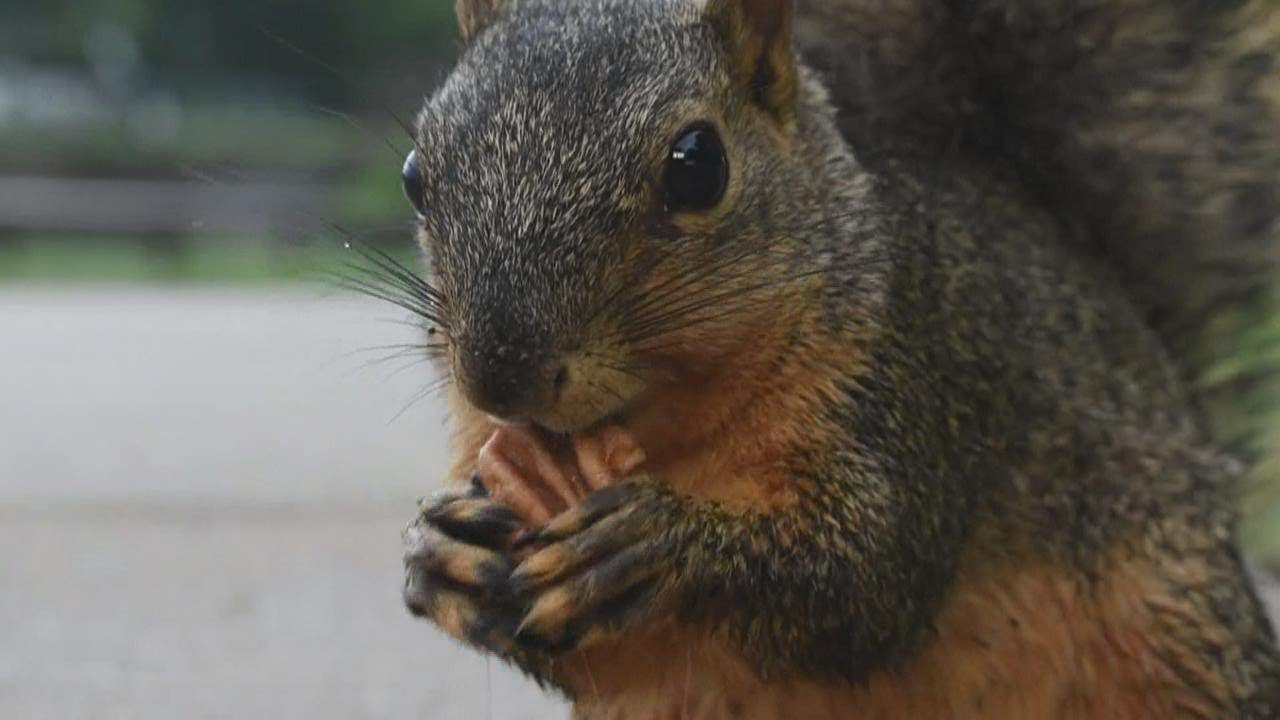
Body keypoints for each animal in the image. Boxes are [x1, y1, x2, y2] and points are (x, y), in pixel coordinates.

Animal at [396, 0, 1280, 717]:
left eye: (698, 165)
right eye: (415, 176)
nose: (499, 375)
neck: (671, 433)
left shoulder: (919, 384)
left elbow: (870, 581)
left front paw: (664, 545)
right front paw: (440, 558)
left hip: (1186, 640)